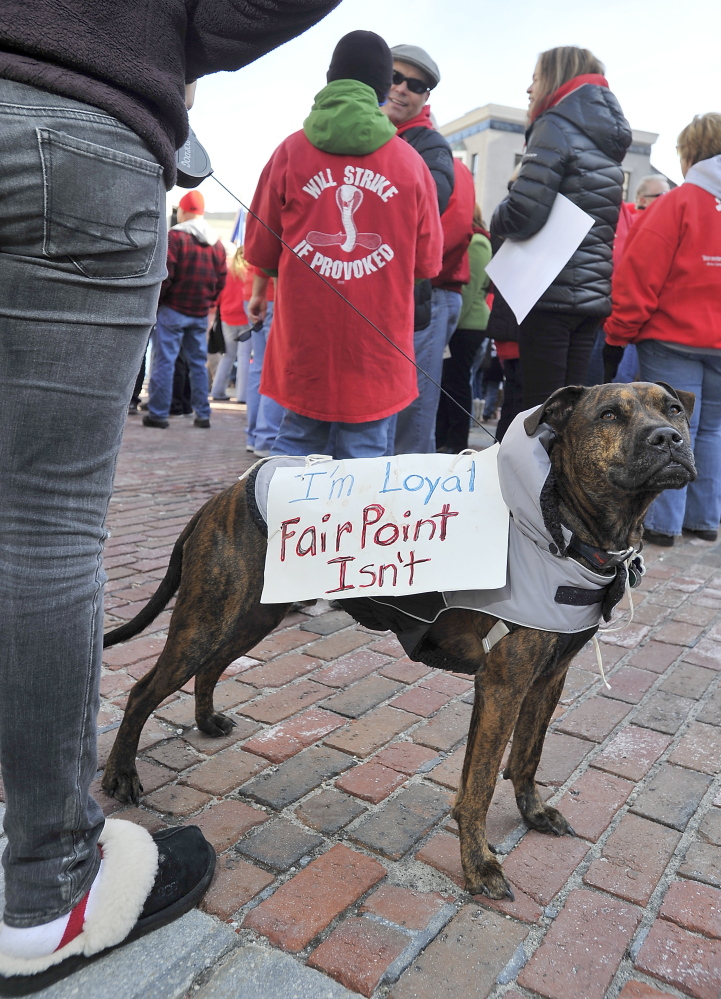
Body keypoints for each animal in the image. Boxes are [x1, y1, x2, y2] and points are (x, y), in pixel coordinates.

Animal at [102, 382, 696, 900]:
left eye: (673, 408)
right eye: (609, 416)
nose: (669, 438)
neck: (560, 523)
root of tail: (219, 498)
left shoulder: (549, 676)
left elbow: (528, 755)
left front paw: (532, 813)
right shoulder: (503, 684)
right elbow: (478, 786)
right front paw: (479, 865)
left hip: (248, 617)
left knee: (210, 668)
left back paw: (205, 722)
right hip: (207, 620)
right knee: (143, 691)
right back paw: (121, 775)